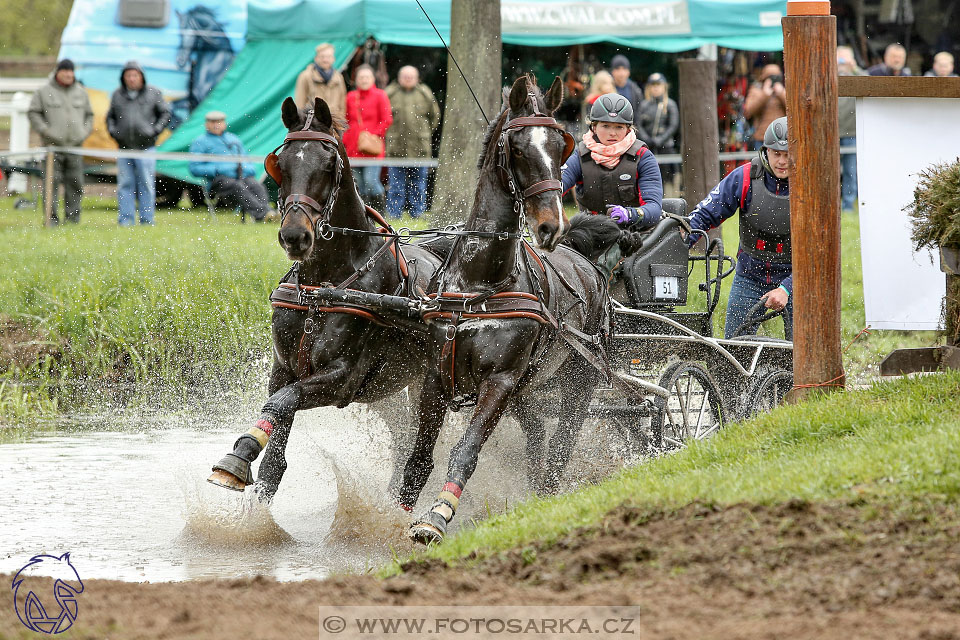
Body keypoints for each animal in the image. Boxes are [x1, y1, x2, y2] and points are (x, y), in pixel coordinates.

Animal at [208, 99, 440, 500]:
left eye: (327, 166)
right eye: (281, 165)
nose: (294, 236)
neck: (322, 290)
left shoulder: (342, 378)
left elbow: (282, 401)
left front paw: (238, 456)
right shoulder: (283, 367)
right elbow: (274, 452)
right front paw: (247, 457)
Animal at [398, 76, 616, 544]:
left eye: (559, 146)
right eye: (516, 148)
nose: (552, 225)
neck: (480, 281)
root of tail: (585, 261)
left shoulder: (499, 381)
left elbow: (466, 450)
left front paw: (437, 515)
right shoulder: (435, 376)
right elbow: (419, 457)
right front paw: (392, 514)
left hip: (579, 379)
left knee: (562, 441)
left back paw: (549, 490)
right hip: (525, 390)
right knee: (536, 437)